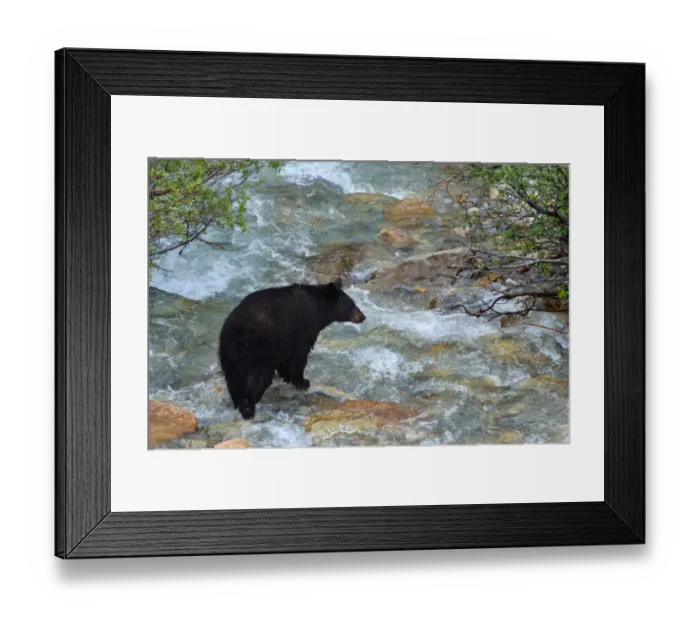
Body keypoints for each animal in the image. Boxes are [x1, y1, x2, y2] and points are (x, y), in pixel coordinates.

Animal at [218, 278, 366, 420]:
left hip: (230, 354)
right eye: (351, 305)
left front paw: (289, 377)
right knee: (258, 376)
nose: (363, 316)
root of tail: (235, 330)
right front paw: (303, 382)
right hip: (259, 349)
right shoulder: (302, 329)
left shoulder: (286, 340)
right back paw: (249, 408)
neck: (317, 308)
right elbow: (299, 356)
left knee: (234, 379)